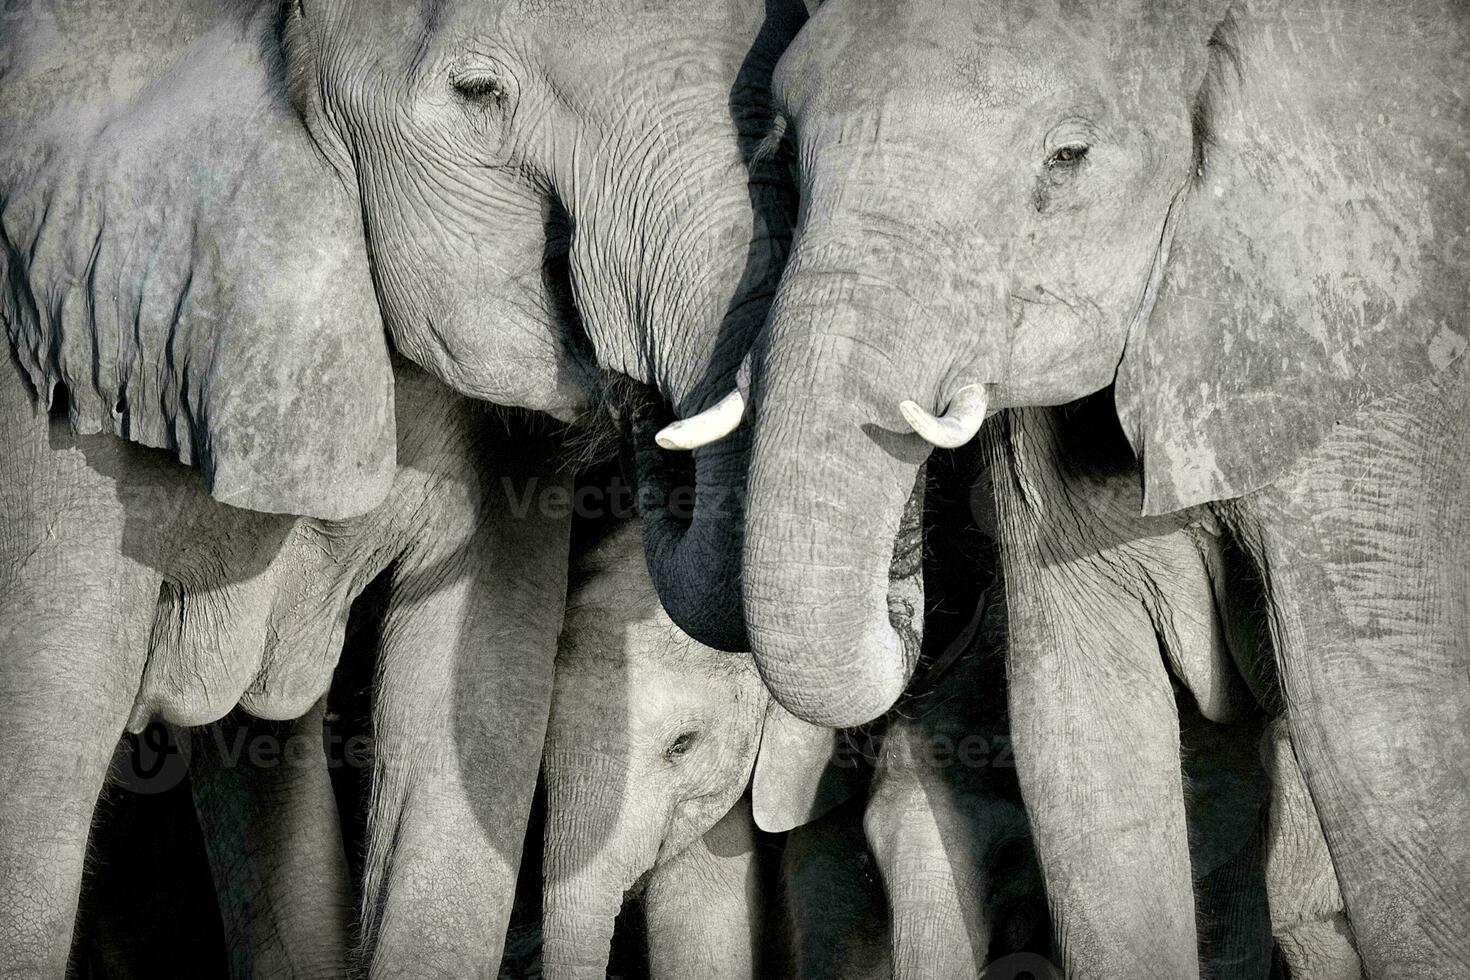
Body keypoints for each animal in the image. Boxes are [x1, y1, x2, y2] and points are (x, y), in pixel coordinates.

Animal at [673, 3, 1464, 975]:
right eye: (784, 159)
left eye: (1068, 158)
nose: (917, 585)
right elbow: (1081, 738)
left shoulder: (1375, 359)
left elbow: (1378, 735)